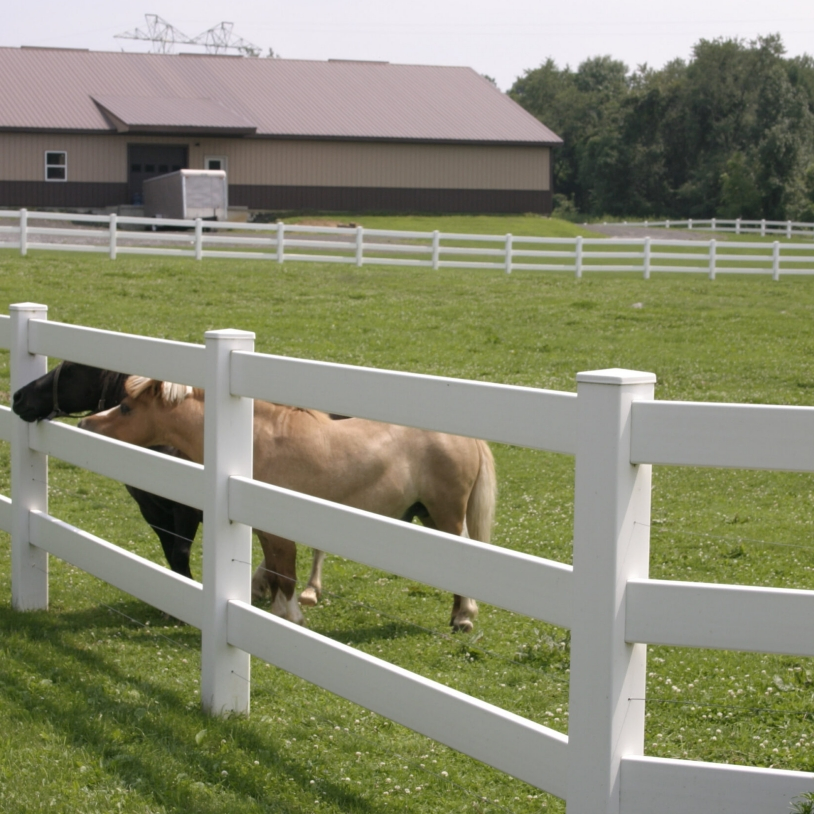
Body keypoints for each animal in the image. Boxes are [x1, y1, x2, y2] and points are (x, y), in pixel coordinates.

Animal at [78, 376, 496, 632]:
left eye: (126, 408)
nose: (85, 425)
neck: (255, 442)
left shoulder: (280, 531)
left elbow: (288, 574)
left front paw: (292, 616)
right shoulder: (264, 530)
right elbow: (277, 572)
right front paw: (279, 611)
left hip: (445, 513)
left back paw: (463, 618)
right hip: (430, 515)